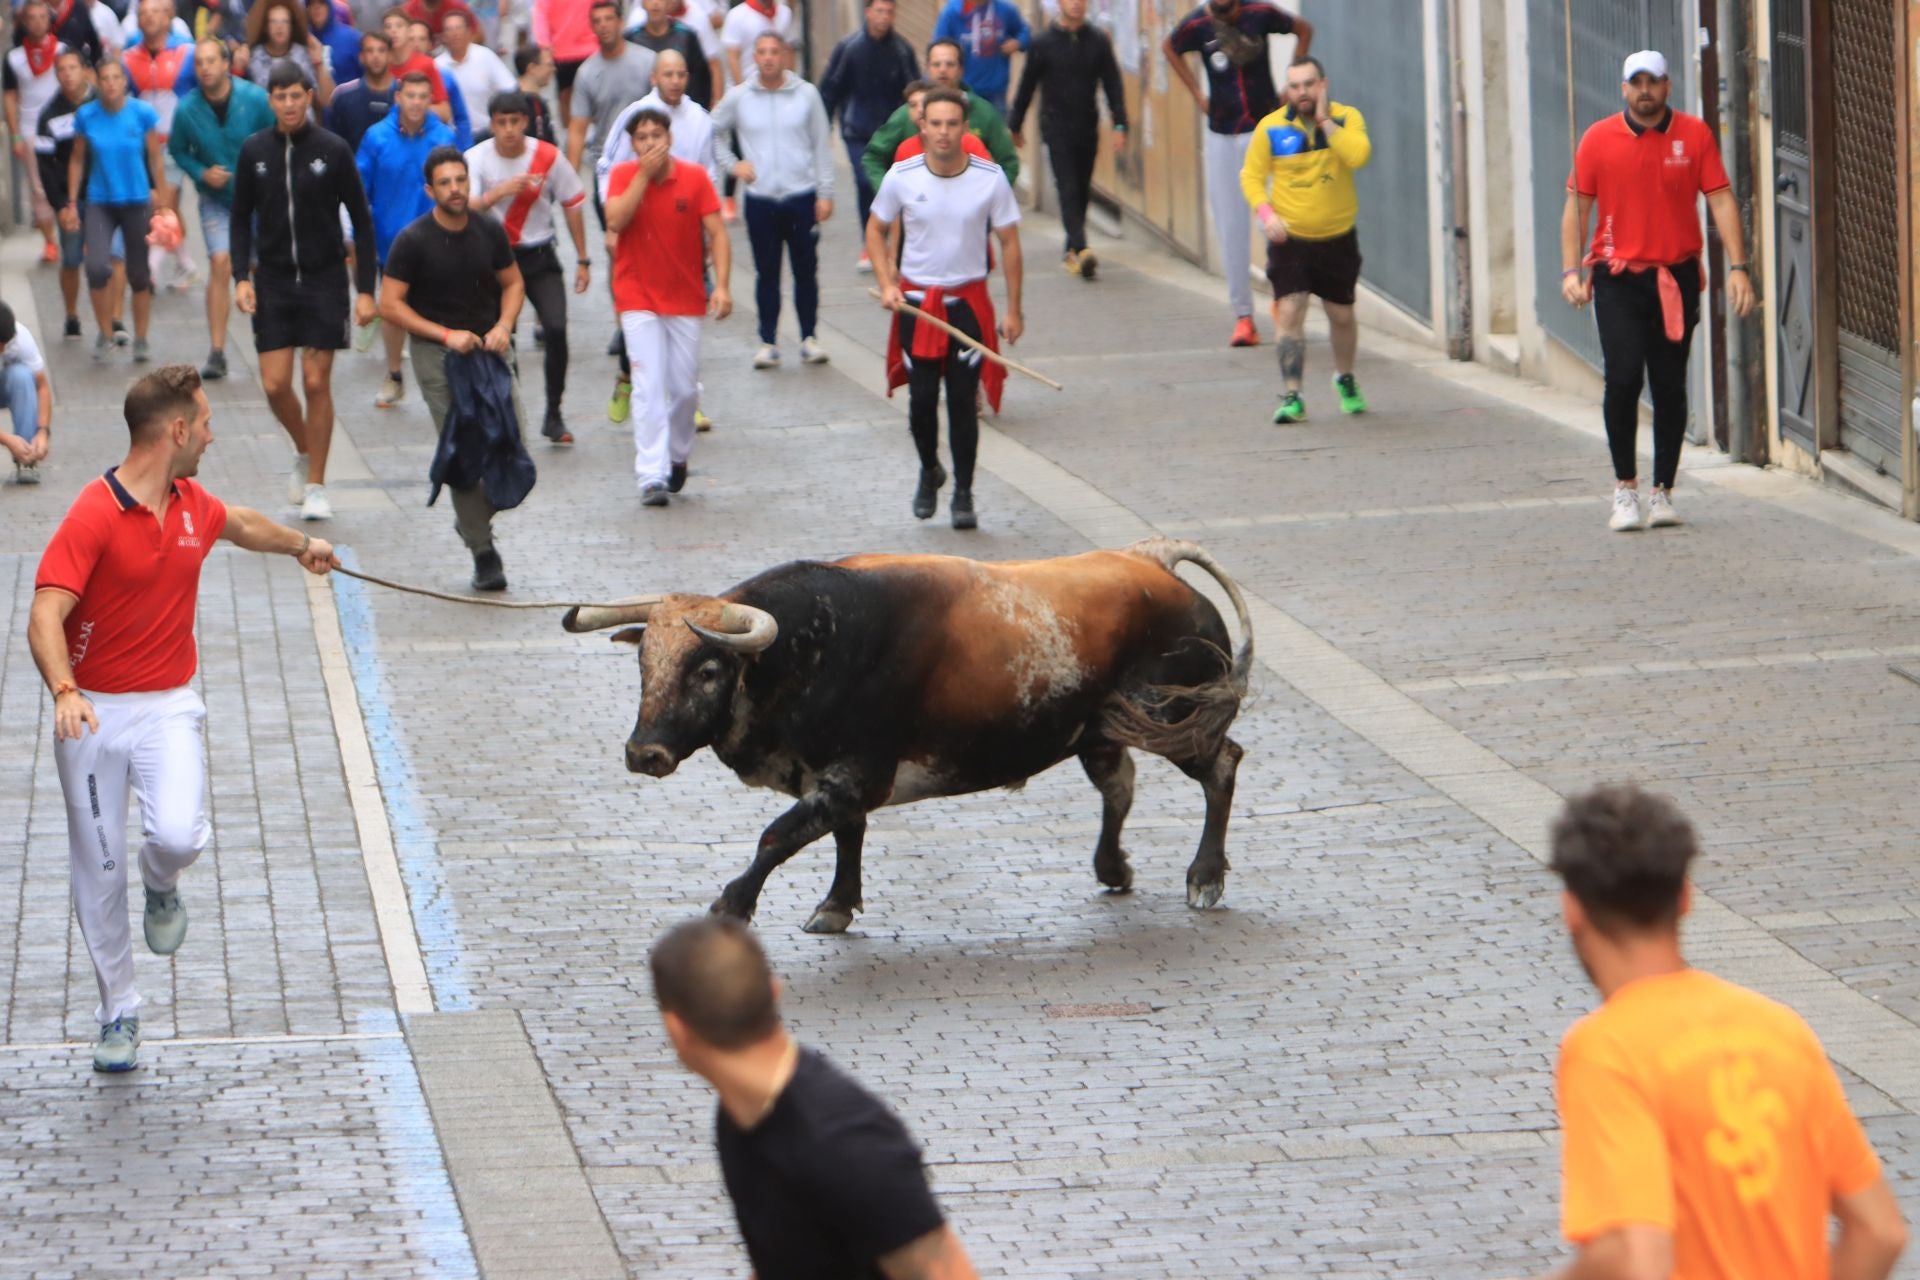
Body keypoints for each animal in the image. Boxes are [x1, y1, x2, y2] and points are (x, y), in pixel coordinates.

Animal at [564, 533, 1259, 932]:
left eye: (708, 670)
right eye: (643, 662)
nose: (644, 753)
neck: (811, 645)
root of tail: (1152, 562)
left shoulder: (852, 775)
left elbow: (778, 837)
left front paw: (733, 903)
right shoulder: (837, 782)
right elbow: (844, 836)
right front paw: (837, 904)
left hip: (1175, 719)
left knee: (1222, 766)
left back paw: (1205, 877)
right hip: (1100, 731)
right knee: (1119, 787)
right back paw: (1113, 866)